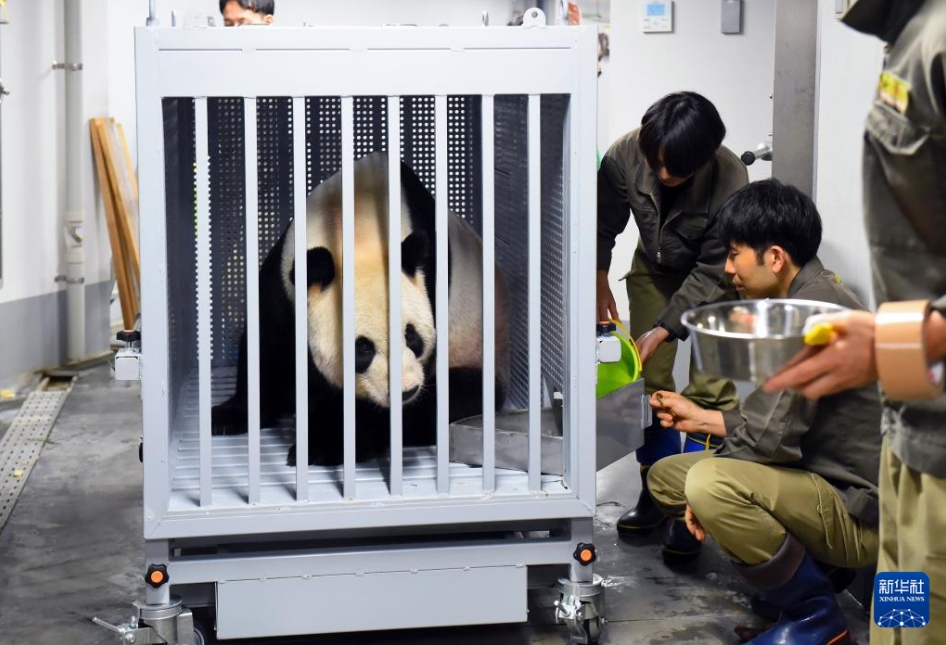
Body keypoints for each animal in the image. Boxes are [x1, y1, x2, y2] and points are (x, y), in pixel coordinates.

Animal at [214, 150, 508, 462]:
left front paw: (326, 442)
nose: (406, 391)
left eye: (411, 336)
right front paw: (230, 415)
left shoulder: (433, 280)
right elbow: (267, 340)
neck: (355, 229)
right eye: (363, 348)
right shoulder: (286, 276)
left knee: (451, 398)